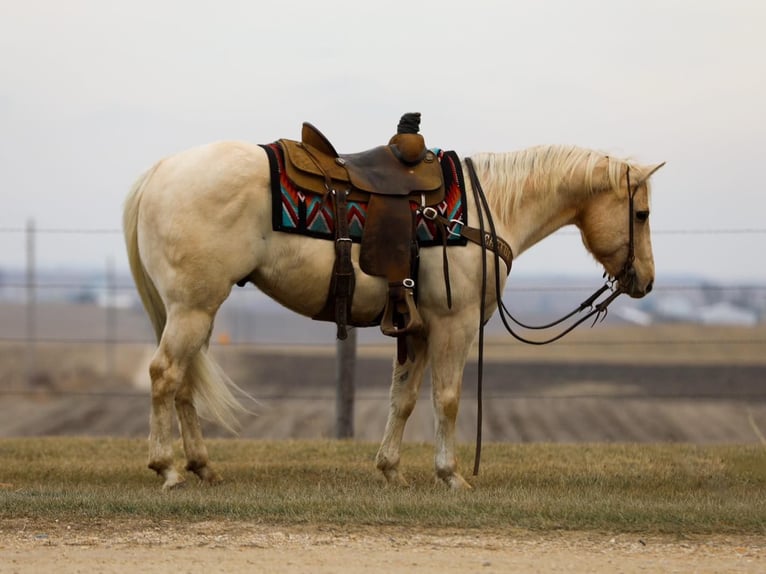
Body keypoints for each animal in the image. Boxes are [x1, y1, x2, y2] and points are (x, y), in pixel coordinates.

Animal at [123, 136, 664, 490]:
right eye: (641, 214)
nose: (646, 280)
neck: (480, 211)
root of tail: (160, 171)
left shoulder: (418, 331)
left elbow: (401, 400)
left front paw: (391, 469)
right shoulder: (454, 324)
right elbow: (447, 398)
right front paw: (451, 476)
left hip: (196, 310)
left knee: (185, 382)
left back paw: (202, 466)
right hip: (193, 308)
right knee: (164, 374)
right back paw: (167, 467)